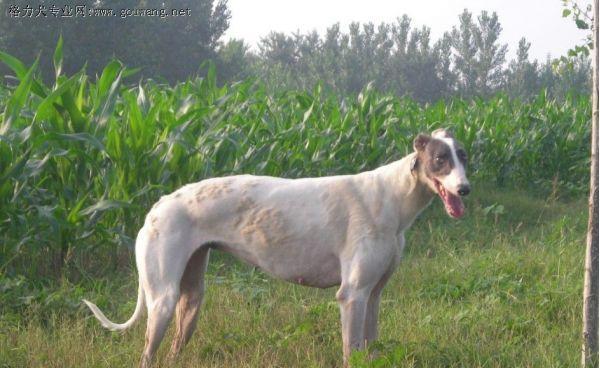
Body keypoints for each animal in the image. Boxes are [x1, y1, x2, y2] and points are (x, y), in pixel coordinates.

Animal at [83, 129, 468, 366]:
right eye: (440, 159)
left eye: (464, 157)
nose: (465, 189)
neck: (392, 197)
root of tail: (159, 205)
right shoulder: (352, 295)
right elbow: (351, 351)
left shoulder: (373, 295)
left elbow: (370, 347)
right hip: (162, 300)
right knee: (148, 353)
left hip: (190, 299)